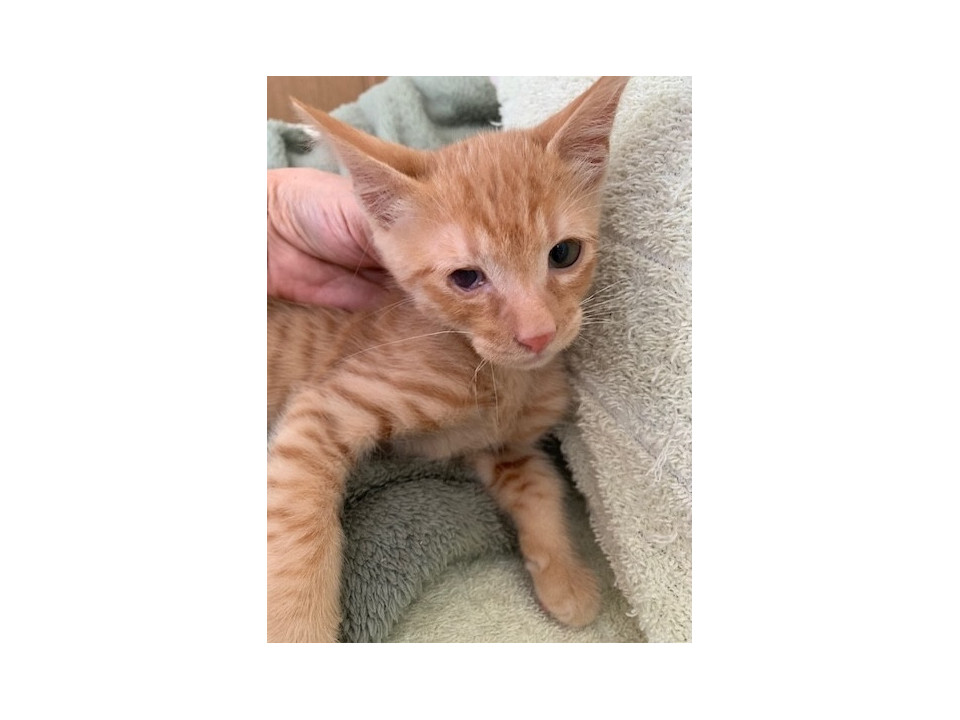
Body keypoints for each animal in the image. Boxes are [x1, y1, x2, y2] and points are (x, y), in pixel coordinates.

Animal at [267, 76, 629, 642]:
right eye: (466, 278)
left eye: (564, 253)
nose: (538, 334)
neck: (501, 379)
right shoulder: (320, 411)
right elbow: (296, 529)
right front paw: (294, 629)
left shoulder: (498, 447)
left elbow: (540, 487)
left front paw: (564, 578)